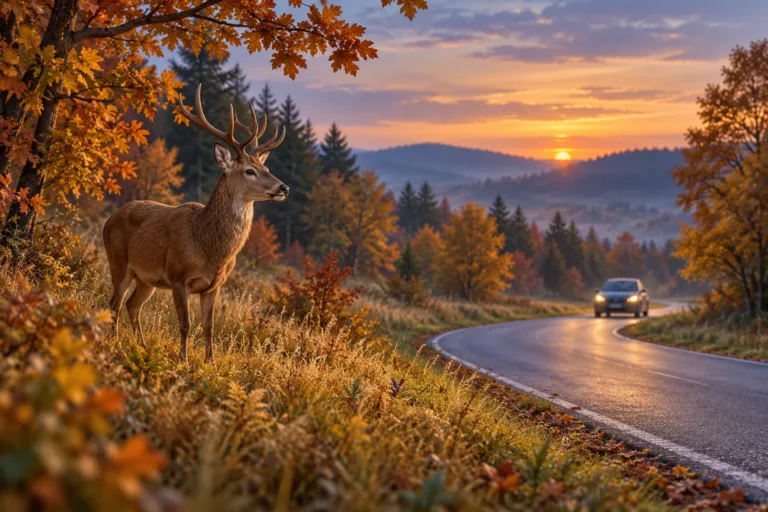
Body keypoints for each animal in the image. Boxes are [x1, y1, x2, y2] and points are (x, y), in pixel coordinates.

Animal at [103, 84, 288, 363]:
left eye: (265, 167)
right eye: (250, 171)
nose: (283, 187)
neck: (210, 247)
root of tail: (109, 219)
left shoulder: (214, 285)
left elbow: (209, 326)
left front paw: (210, 362)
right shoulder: (179, 276)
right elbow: (186, 324)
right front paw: (184, 360)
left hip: (146, 279)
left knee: (131, 305)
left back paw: (142, 346)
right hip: (118, 261)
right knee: (114, 303)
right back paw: (113, 341)